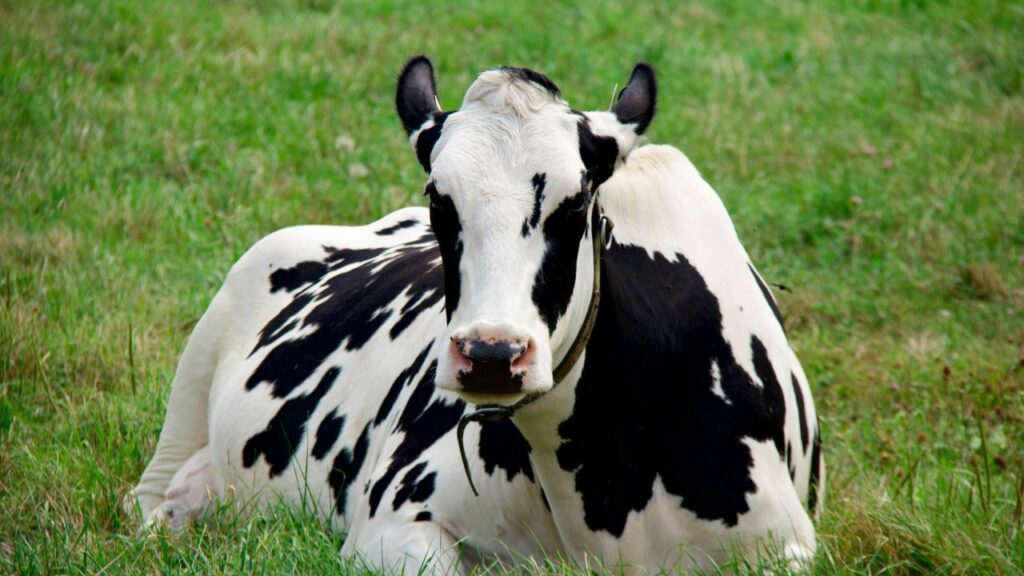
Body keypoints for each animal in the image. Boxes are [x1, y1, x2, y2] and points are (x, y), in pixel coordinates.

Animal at [128, 56, 823, 574]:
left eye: (576, 203)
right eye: (441, 200)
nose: (492, 354)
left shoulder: (786, 547)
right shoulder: (390, 525)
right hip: (194, 377)